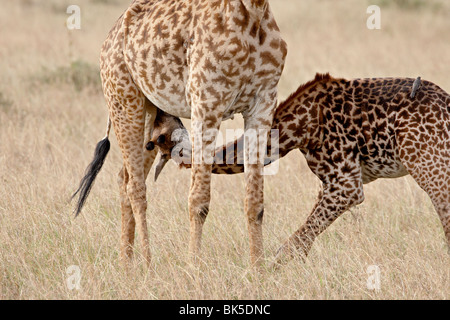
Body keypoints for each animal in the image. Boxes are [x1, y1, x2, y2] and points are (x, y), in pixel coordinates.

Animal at [72, 0, 286, 268]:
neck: (253, 12)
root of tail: (110, 36)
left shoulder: (263, 104)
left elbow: (255, 202)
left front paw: (258, 271)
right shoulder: (207, 104)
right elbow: (199, 201)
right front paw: (194, 269)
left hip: (149, 116)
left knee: (124, 178)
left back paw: (126, 265)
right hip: (124, 102)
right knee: (135, 187)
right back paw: (147, 265)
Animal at [151, 74, 450, 266]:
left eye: (156, 137)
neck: (297, 128)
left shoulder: (346, 184)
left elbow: (292, 245)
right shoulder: (334, 183)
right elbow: (303, 239)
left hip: (427, 165)